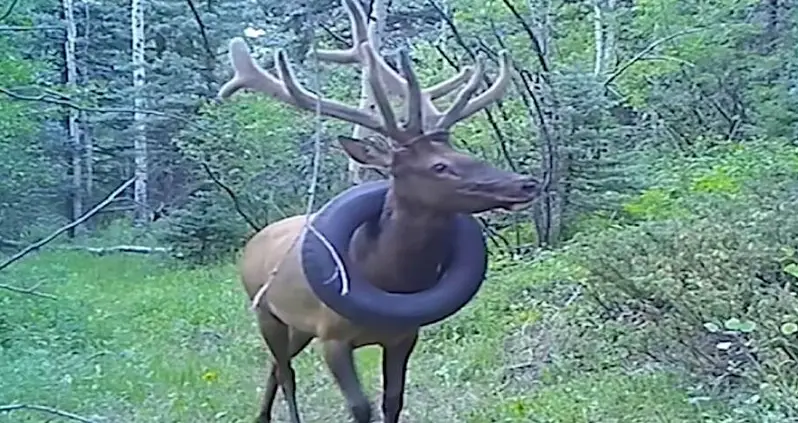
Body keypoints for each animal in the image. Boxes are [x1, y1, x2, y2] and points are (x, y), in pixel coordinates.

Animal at [217, 0, 544, 423]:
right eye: (439, 166)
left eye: (460, 151)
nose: (526, 183)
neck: (387, 275)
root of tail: (254, 240)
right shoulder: (332, 336)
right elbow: (360, 407)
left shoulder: (404, 336)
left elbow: (393, 401)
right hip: (265, 311)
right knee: (285, 372)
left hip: (297, 325)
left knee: (276, 367)